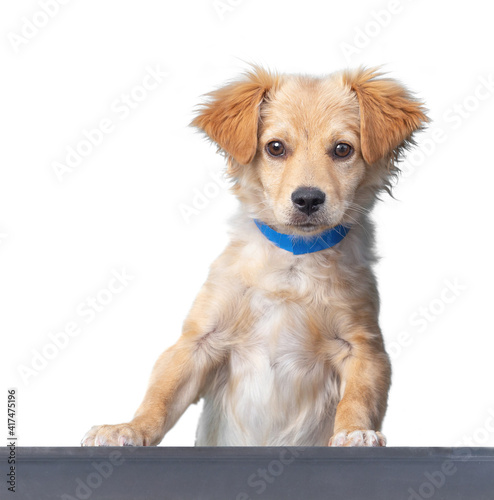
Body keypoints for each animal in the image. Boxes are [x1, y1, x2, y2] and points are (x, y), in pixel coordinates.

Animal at [82, 65, 428, 446]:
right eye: (275, 147)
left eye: (342, 149)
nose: (308, 199)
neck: (293, 261)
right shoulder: (197, 342)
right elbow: (161, 394)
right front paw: (130, 428)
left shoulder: (363, 347)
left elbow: (358, 397)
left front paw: (354, 431)